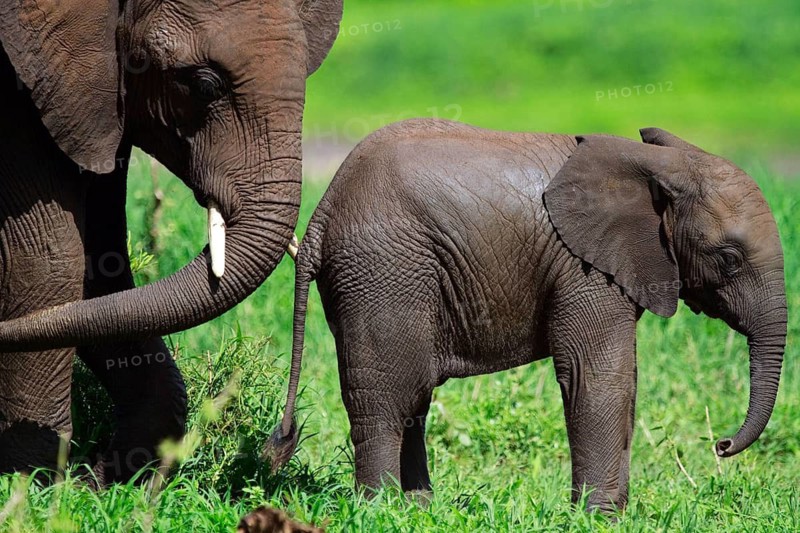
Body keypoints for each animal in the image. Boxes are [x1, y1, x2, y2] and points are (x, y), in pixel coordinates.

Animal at [0, 0, 342, 482]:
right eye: (203, 85)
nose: (280, 444)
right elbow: (49, 260)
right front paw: (33, 483)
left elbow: (101, 267)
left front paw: (107, 482)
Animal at [267, 119, 788, 512]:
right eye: (730, 260)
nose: (720, 446)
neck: (653, 165)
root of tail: (322, 211)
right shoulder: (583, 269)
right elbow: (597, 377)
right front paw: (598, 518)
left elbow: (624, 381)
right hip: (383, 271)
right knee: (388, 395)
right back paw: (380, 510)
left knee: (412, 396)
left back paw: (417, 509)